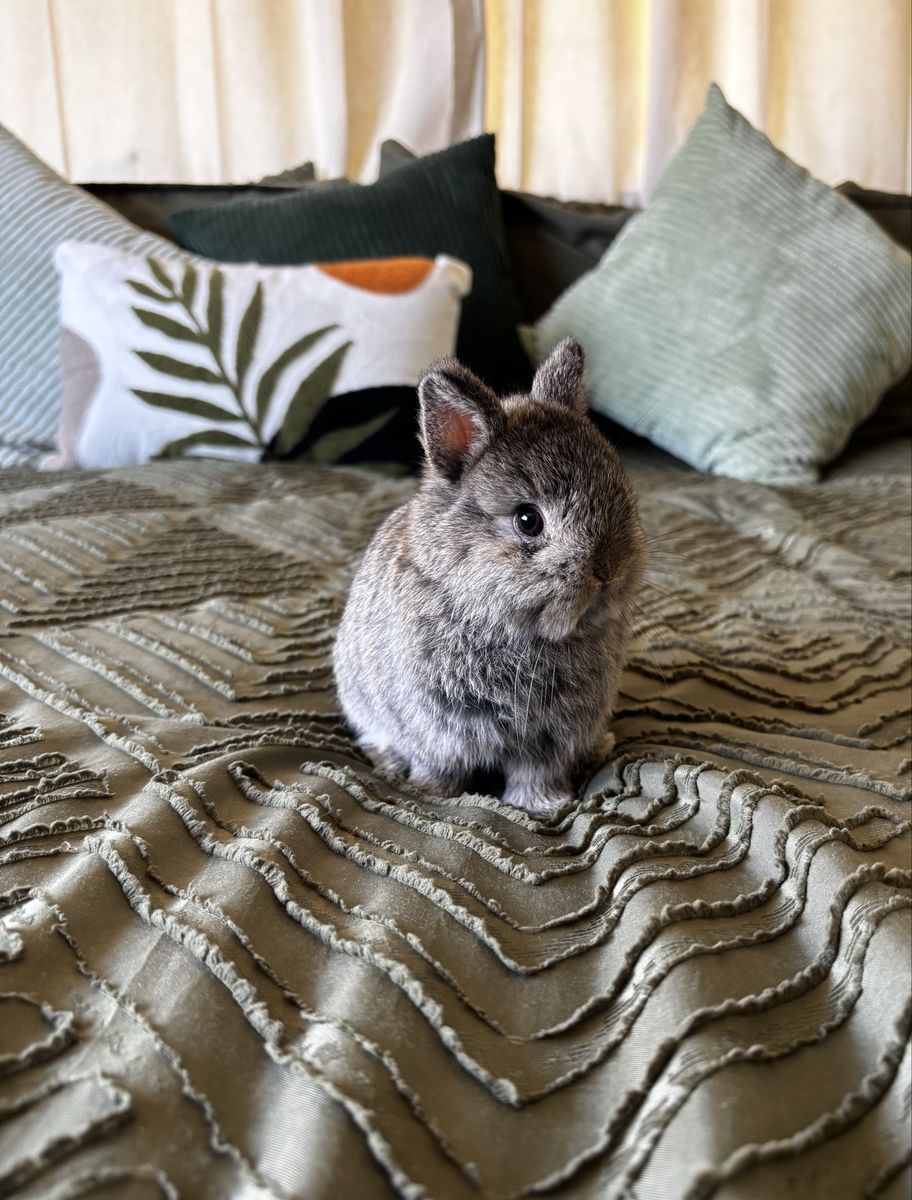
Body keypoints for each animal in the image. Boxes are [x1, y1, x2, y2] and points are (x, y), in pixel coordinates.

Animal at [332, 337, 646, 815]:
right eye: (528, 521)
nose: (609, 573)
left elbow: (537, 774)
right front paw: (431, 796)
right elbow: (441, 768)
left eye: (621, 494)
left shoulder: (551, 738)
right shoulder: (439, 728)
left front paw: (544, 806)